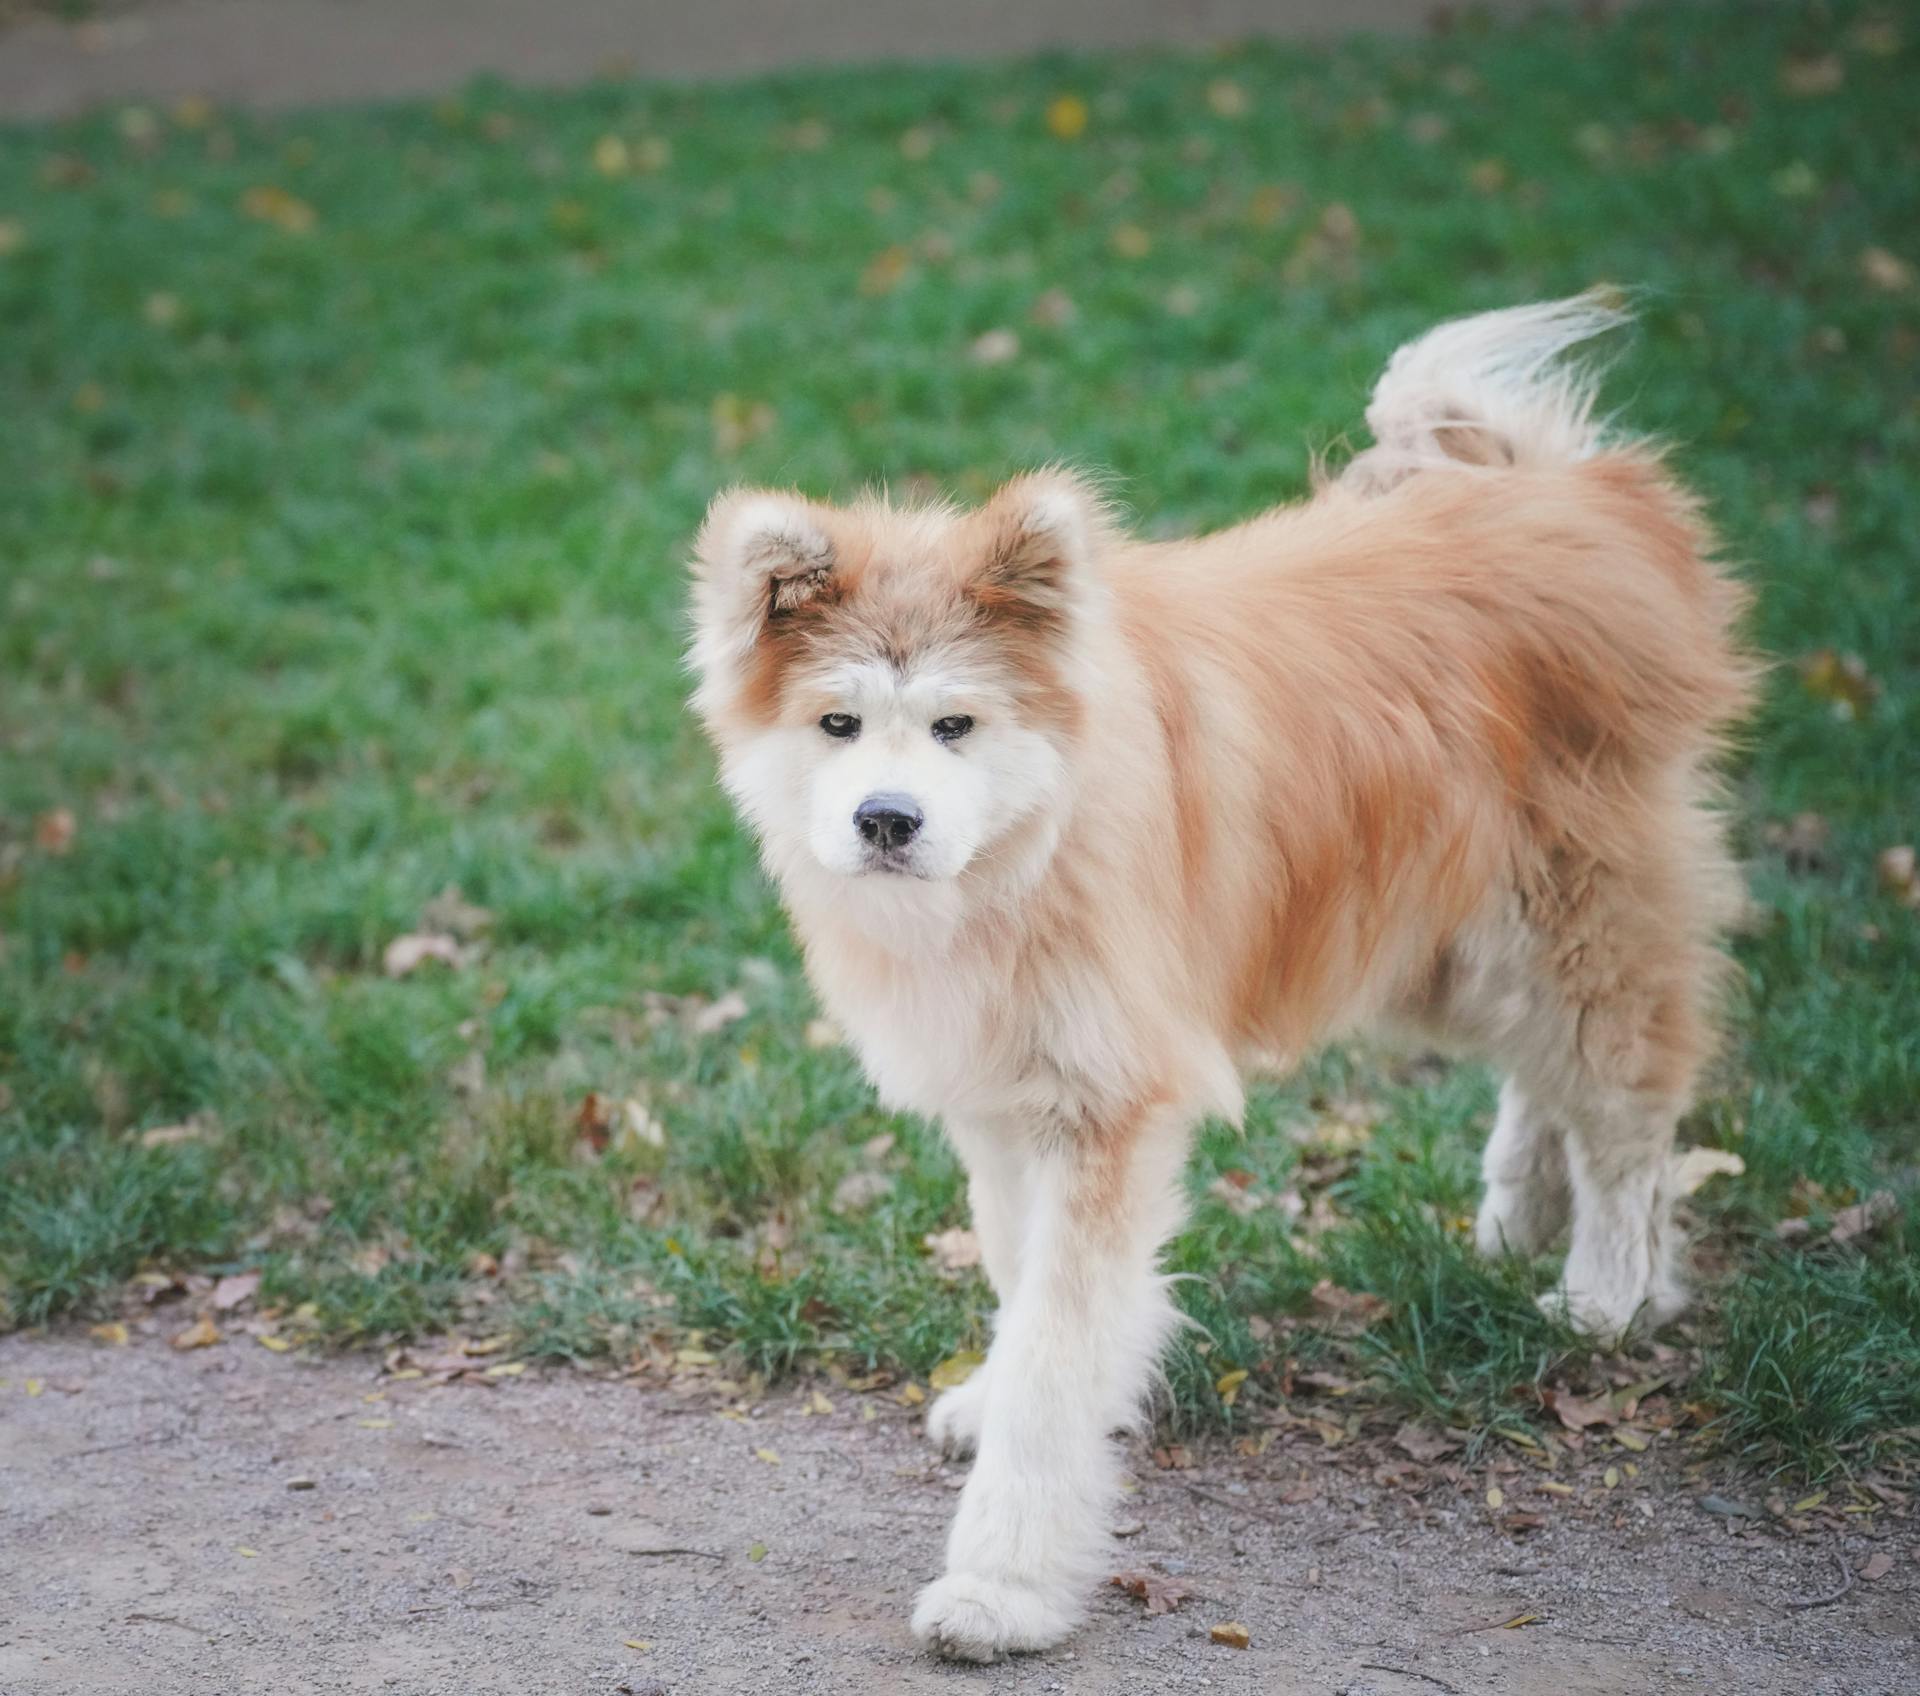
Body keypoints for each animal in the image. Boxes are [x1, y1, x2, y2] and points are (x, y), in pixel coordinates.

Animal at [687, 291, 1758, 1659]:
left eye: (954, 726)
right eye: (837, 724)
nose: (887, 820)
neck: (1034, 842)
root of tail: (1572, 488)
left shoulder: (1104, 1102)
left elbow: (1058, 1349)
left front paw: (1003, 1585)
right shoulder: (1005, 1092)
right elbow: (1018, 1275)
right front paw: (998, 1393)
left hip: (1576, 915)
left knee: (1622, 1098)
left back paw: (1606, 1289)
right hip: (1436, 935)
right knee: (1542, 1069)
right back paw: (1520, 1211)